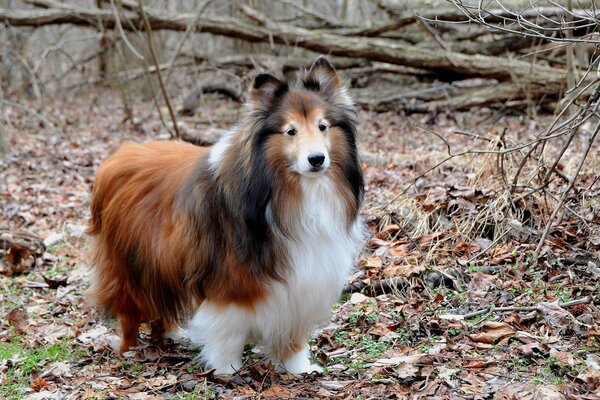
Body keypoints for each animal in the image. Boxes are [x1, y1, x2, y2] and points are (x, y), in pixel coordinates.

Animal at [86, 56, 364, 376]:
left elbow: (293, 333)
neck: (288, 192)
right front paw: (227, 370)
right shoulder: (229, 281)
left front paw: (299, 367)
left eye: (323, 126)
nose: (316, 159)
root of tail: (118, 156)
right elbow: (229, 331)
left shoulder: (302, 283)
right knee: (129, 311)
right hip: (133, 264)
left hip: (160, 261)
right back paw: (129, 349)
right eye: (290, 131)